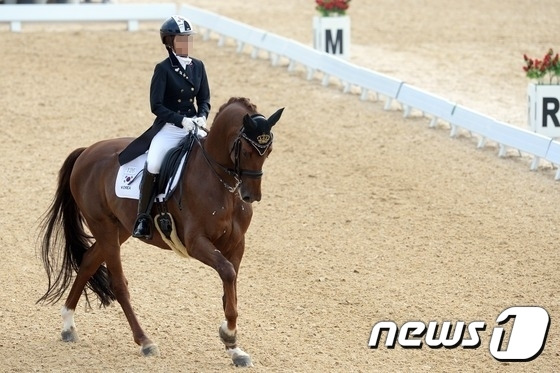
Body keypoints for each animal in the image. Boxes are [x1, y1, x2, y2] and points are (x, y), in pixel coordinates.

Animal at [37, 96, 284, 366]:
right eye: (247, 151)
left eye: (269, 151)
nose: (251, 196)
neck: (221, 184)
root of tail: (87, 151)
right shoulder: (196, 242)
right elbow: (228, 274)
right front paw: (228, 335)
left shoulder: (237, 243)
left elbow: (230, 289)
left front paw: (235, 348)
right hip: (103, 226)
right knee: (118, 284)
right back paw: (145, 341)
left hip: (119, 229)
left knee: (89, 261)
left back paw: (68, 326)